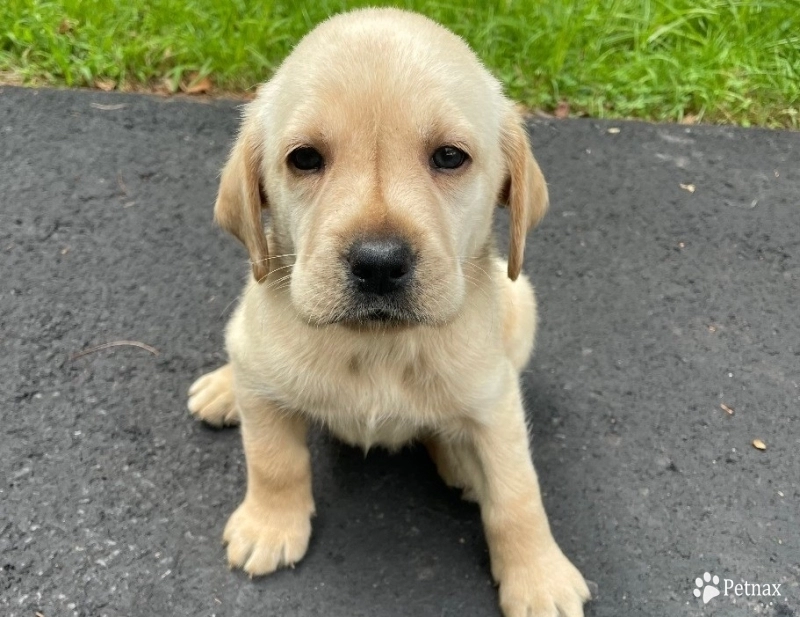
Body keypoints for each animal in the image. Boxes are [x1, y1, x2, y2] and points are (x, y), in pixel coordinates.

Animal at [186, 8, 588, 616]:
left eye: (449, 156)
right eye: (305, 159)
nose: (378, 264)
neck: (377, 344)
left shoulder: (495, 401)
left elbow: (518, 494)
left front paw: (540, 578)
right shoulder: (265, 382)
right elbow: (273, 460)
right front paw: (269, 526)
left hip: (522, 305)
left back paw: (460, 462)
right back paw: (222, 388)